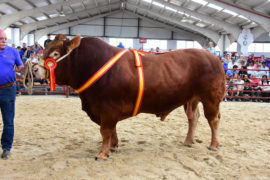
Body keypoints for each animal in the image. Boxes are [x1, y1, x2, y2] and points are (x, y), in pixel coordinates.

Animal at [33, 34, 226, 160]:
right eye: (45, 49)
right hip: (191, 99)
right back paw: (188, 141)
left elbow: (105, 130)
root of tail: (214, 57)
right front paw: (113, 146)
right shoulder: (104, 110)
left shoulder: (108, 108)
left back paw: (213, 145)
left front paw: (102, 153)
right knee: (193, 118)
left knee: (213, 120)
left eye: (55, 54)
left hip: (211, 98)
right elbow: (111, 131)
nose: (35, 69)